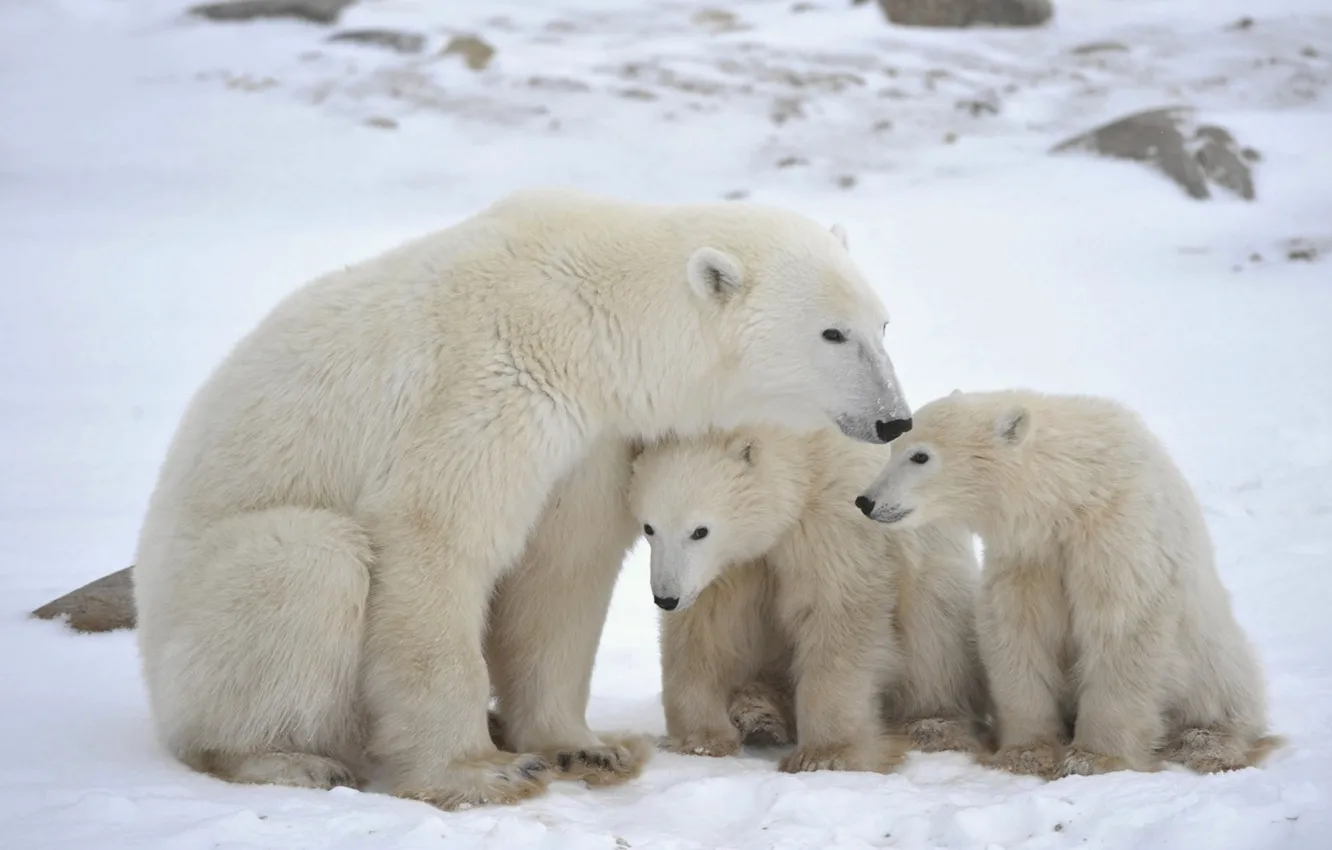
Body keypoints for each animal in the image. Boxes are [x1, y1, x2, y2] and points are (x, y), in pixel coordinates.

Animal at [131, 187, 914, 811]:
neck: (590, 315)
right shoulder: (489, 381)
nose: (894, 420)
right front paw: (480, 773)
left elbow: (561, 570)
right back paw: (283, 756)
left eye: (884, 323)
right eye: (832, 331)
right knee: (306, 562)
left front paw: (585, 748)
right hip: (197, 615)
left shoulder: (592, 438)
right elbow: (436, 536)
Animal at [628, 424, 991, 775]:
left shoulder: (833, 519)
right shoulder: (727, 569)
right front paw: (701, 739)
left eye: (700, 530)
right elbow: (704, 629)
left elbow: (837, 614)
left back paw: (932, 725)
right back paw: (758, 713)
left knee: (933, 636)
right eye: (649, 527)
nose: (666, 597)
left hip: (937, 586)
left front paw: (826, 756)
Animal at [856, 389, 1281, 779]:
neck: (1074, 492)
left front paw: (1093, 757)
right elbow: (1018, 631)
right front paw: (1026, 753)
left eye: (920, 456)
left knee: (1225, 693)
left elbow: (1121, 627)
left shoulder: (1116, 533)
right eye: (894, 449)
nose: (866, 501)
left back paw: (1208, 745)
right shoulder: (1029, 555)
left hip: (1211, 652)